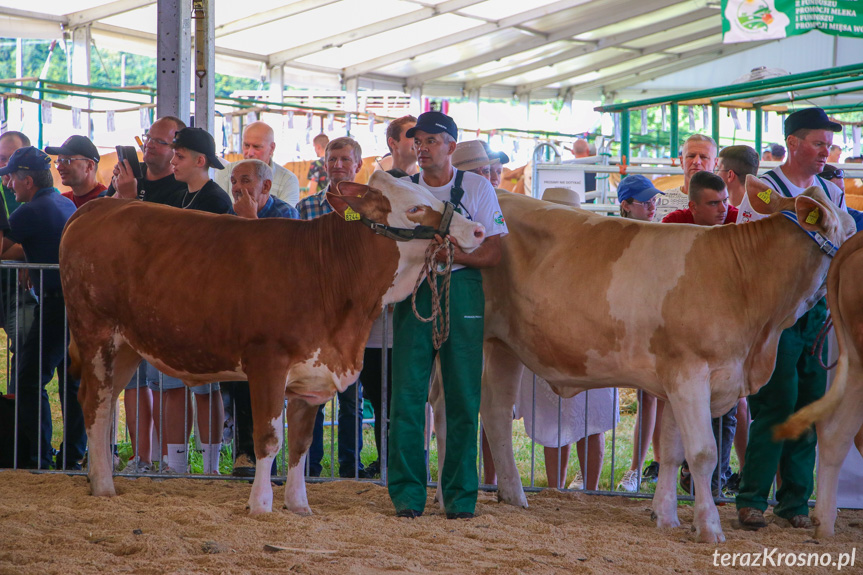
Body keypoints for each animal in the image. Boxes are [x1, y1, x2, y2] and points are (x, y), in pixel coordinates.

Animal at [60, 171, 486, 516]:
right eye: (415, 207)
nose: (478, 231)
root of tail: (96, 207)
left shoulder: (313, 377)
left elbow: (300, 443)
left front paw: (298, 504)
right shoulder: (267, 361)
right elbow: (268, 439)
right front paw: (261, 504)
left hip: (127, 346)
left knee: (102, 404)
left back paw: (101, 480)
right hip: (95, 332)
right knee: (95, 402)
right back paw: (103, 486)